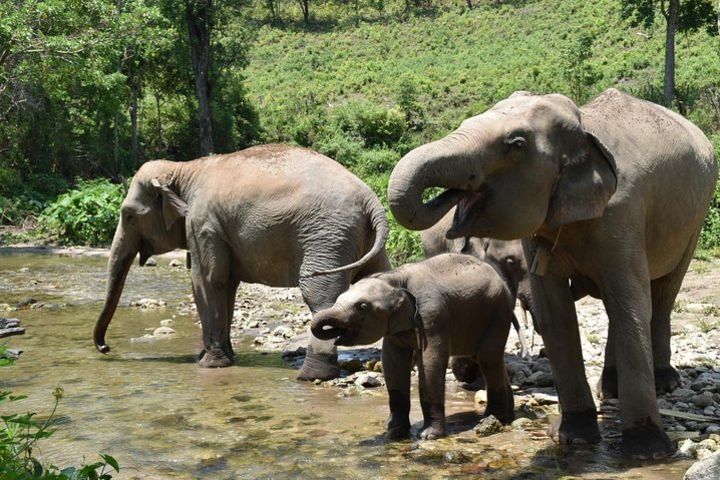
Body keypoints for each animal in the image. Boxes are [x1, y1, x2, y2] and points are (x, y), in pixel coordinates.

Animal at [94, 142, 394, 378]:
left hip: (326, 236)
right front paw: (222, 358)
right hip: (357, 239)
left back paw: (310, 376)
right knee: (376, 278)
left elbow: (206, 280)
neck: (183, 169)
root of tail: (372, 201)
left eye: (129, 216)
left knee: (319, 298)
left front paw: (207, 364)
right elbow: (227, 284)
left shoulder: (203, 223)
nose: (105, 348)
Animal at [312, 253, 516, 440]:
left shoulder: (432, 316)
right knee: (488, 358)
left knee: (487, 357)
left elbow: (430, 363)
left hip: (499, 312)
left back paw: (492, 418)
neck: (396, 278)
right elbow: (393, 364)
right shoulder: (395, 328)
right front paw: (394, 433)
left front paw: (428, 436)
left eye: (362, 306)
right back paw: (508, 417)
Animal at [388, 90, 720, 458]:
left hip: (696, 214)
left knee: (662, 294)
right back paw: (611, 389)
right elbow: (555, 314)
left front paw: (646, 451)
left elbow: (631, 307)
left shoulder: (623, 213)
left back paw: (663, 383)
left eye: (516, 144)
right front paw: (573, 438)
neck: (583, 129)